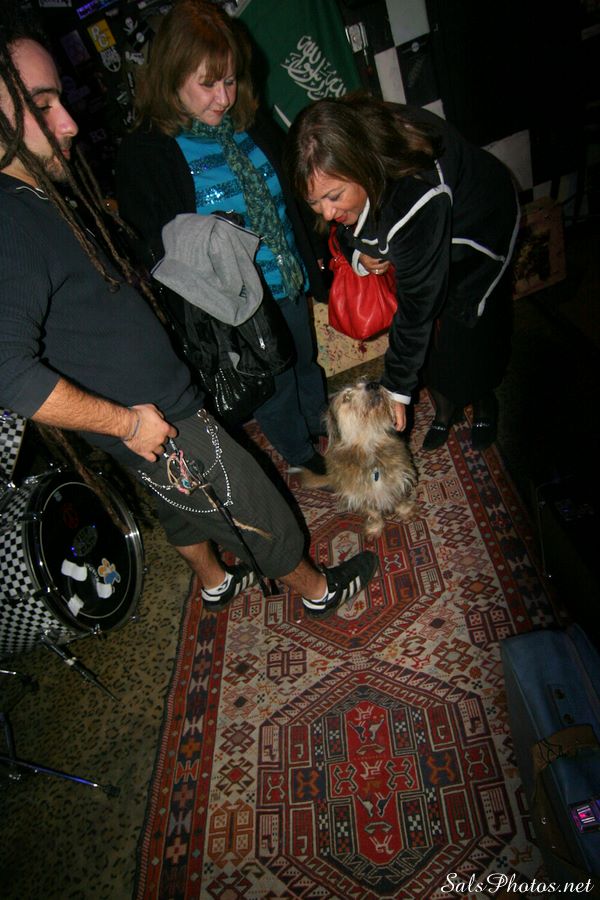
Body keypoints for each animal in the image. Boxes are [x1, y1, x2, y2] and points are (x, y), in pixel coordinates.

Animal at [303, 380, 418, 538]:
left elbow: (399, 499)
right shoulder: (359, 494)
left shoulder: (399, 479)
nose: (373, 384)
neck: (369, 446)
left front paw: (405, 511)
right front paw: (375, 528)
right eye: (346, 397)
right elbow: (372, 513)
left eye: (364, 382)